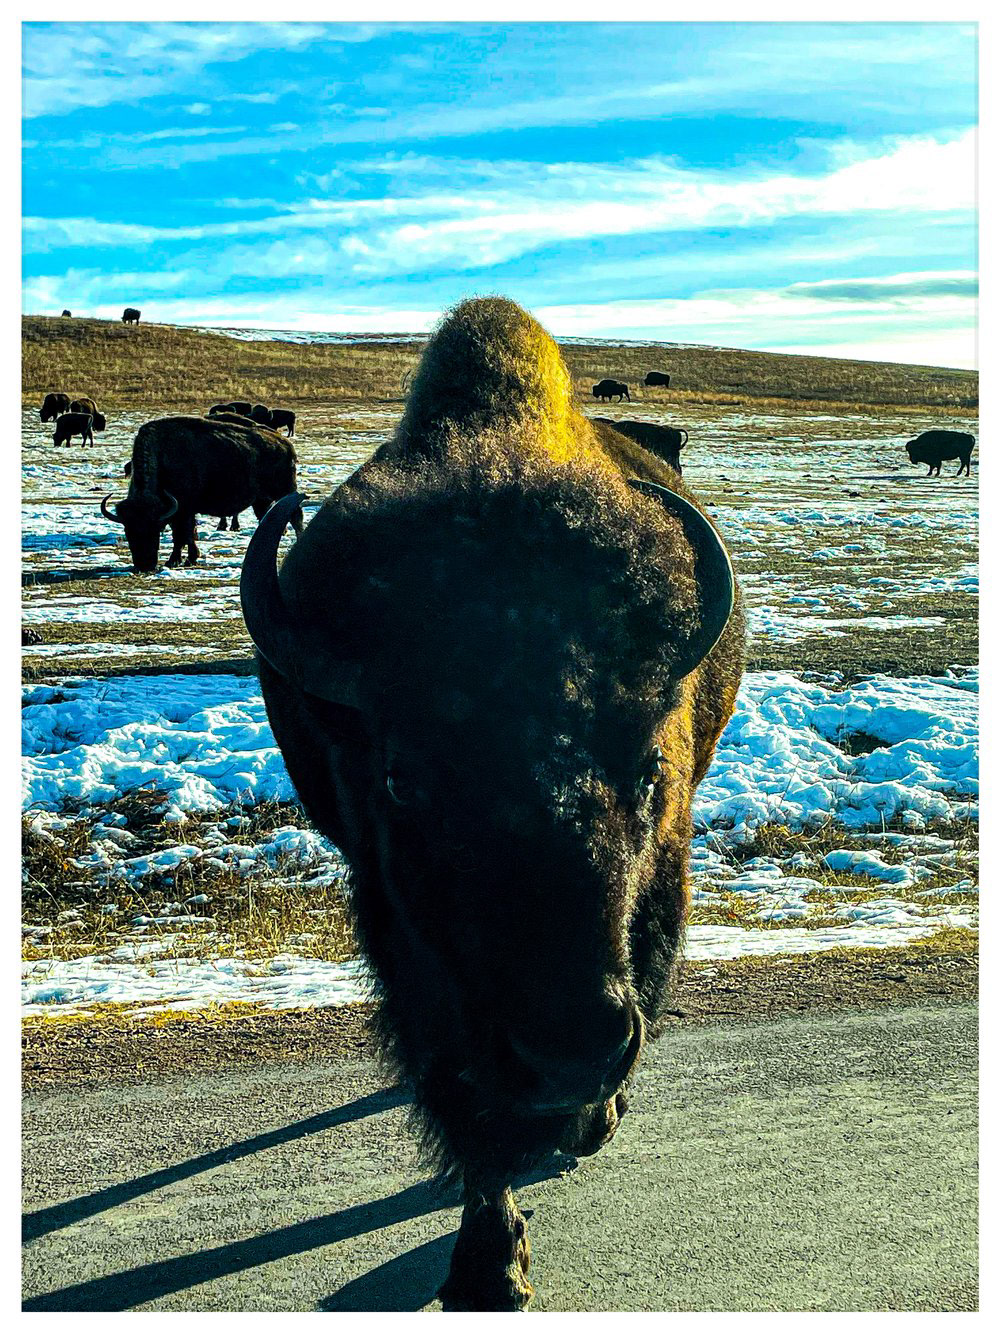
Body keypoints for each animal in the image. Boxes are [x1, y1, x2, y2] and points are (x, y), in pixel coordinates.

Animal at [101, 416, 301, 572]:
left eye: (154, 529)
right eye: (128, 530)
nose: (144, 565)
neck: (163, 456)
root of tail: (285, 444)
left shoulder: (184, 510)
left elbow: (183, 534)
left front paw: (179, 560)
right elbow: (185, 534)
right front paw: (185, 558)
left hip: (285, 491)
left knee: (296, 517)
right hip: (261, 500)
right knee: (267, 517)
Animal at [240, 297, 745, 1311]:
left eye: (645, 770)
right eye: (403, 778)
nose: (570, 1048)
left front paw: (581, 1127)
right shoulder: (404, 934)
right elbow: (464, 1095)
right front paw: (486, 1267)